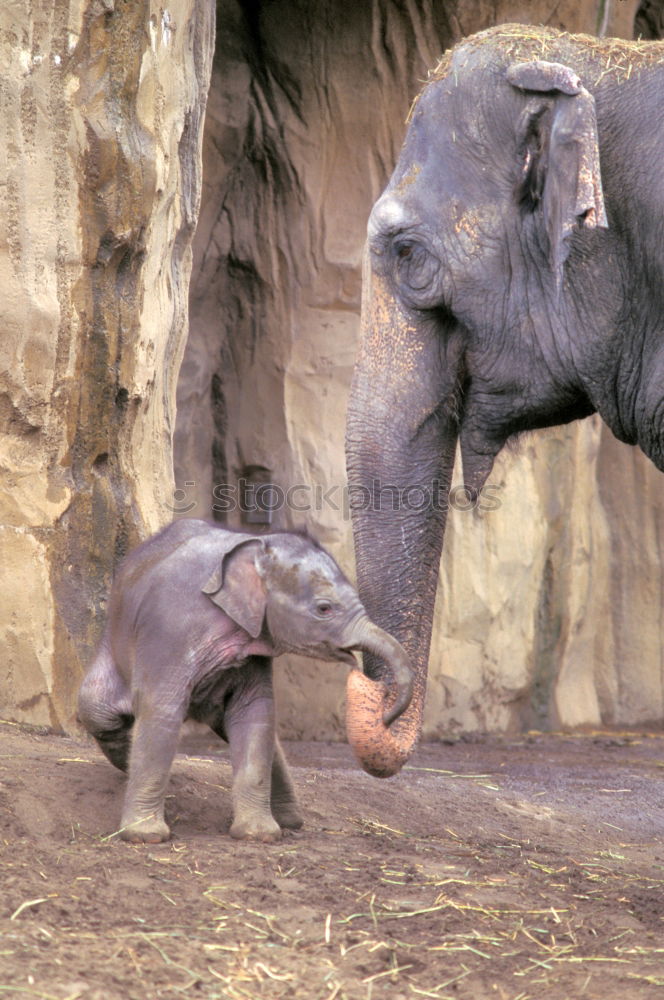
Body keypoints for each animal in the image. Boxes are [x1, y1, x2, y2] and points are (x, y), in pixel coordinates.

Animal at [78, 520, 410, 840]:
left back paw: (289, 821)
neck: (254, 546)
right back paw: (127, 763)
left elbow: (254, 715)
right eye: (324, 609)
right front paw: (144, 836)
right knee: (97, 710)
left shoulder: (254, 642)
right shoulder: (169, 630)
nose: (365, 677)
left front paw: (258, 835)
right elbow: (162, 710)